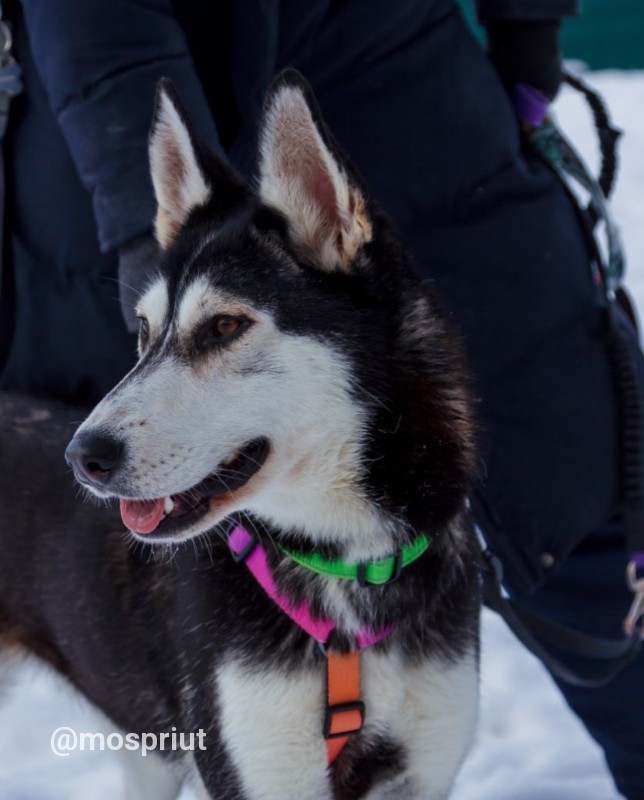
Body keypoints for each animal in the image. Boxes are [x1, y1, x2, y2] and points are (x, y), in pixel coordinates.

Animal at [5, 72, 480, 796]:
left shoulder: (422, 772)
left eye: (224, 327)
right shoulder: (257, 767)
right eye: (143, 331)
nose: (84, 457)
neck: (346, 570)